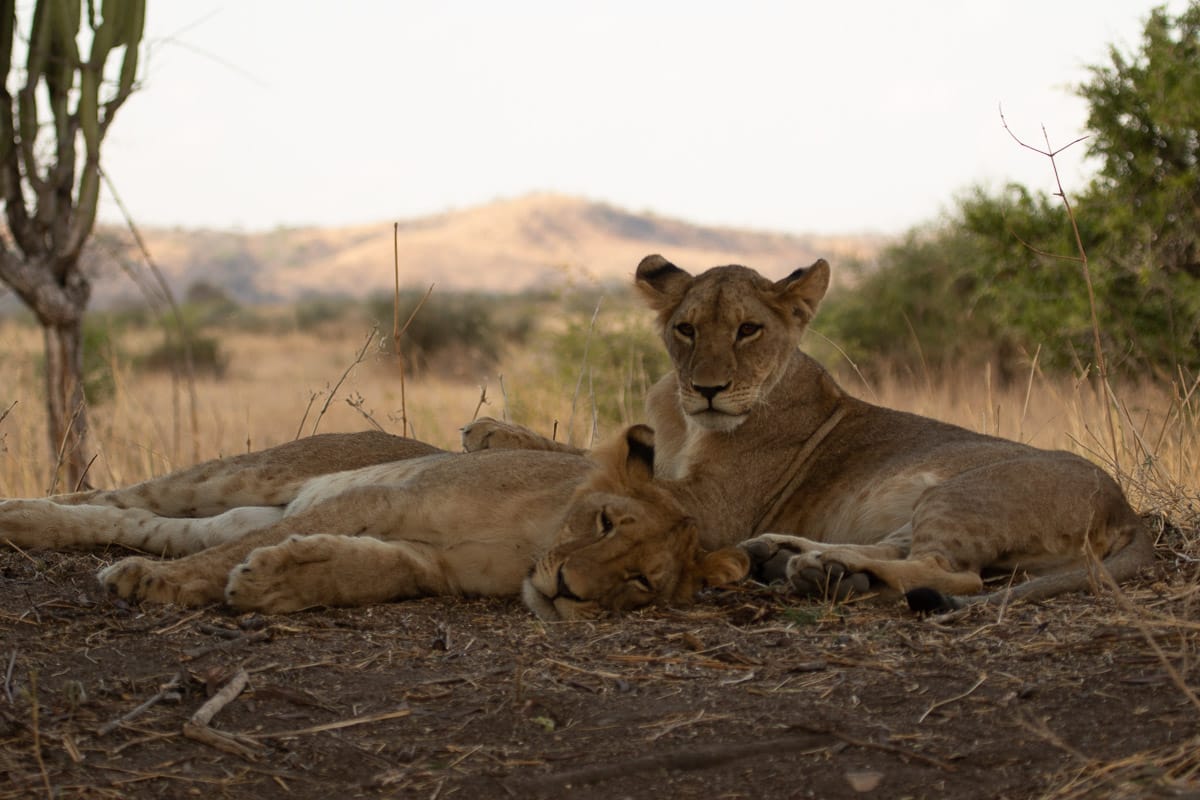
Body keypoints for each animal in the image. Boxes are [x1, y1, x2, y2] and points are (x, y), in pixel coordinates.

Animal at [0, 427, 746, 618]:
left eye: (641, 582)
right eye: (605, 522)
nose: (566, 590)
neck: (534, 541)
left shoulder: (430, 563)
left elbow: (368, 570)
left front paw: (277, 581)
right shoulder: (380, 499)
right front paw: (159, 585)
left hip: (235, 509)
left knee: (144, 521)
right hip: (252, 473)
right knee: (117, 494)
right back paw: (20, 515)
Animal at [466, 255, 1155, 614]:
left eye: (748, 330)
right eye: (686, 329)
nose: (709, 388)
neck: (684, 418)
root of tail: (1127, 510)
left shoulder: (713, 508)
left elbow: (594, 465)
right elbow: (590, 450)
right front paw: (490, 432)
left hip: (966, 492)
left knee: (951, 576)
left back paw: (825, 573)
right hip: (927, 504)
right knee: (904, 550)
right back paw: (796, 561)